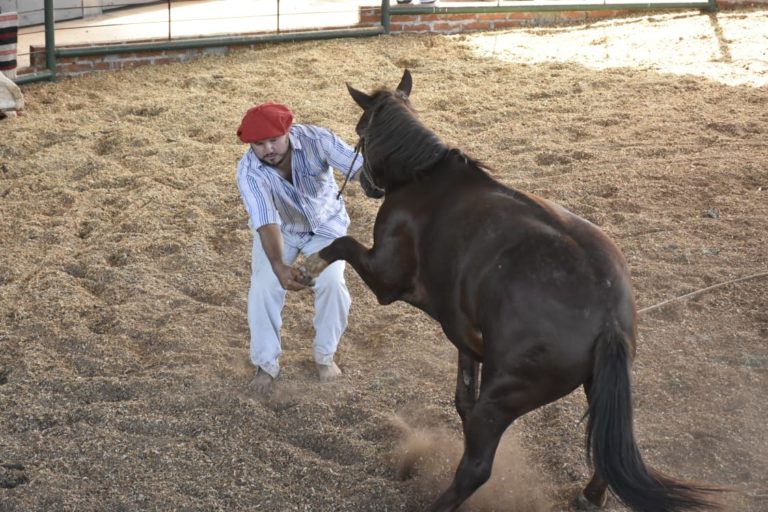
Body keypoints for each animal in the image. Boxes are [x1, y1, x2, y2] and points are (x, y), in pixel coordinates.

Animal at [298, 70, 720, 510]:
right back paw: (590, 495)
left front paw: (308, 265)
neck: (424, 178)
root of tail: (607, 318)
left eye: (360, 129)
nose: (366, 183)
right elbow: (463, 394)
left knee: (475, 468)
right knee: (605, 447)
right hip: (597, 385)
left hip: (505, 396)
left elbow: (342, 244)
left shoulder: (386, 278)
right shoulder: (466, 337)